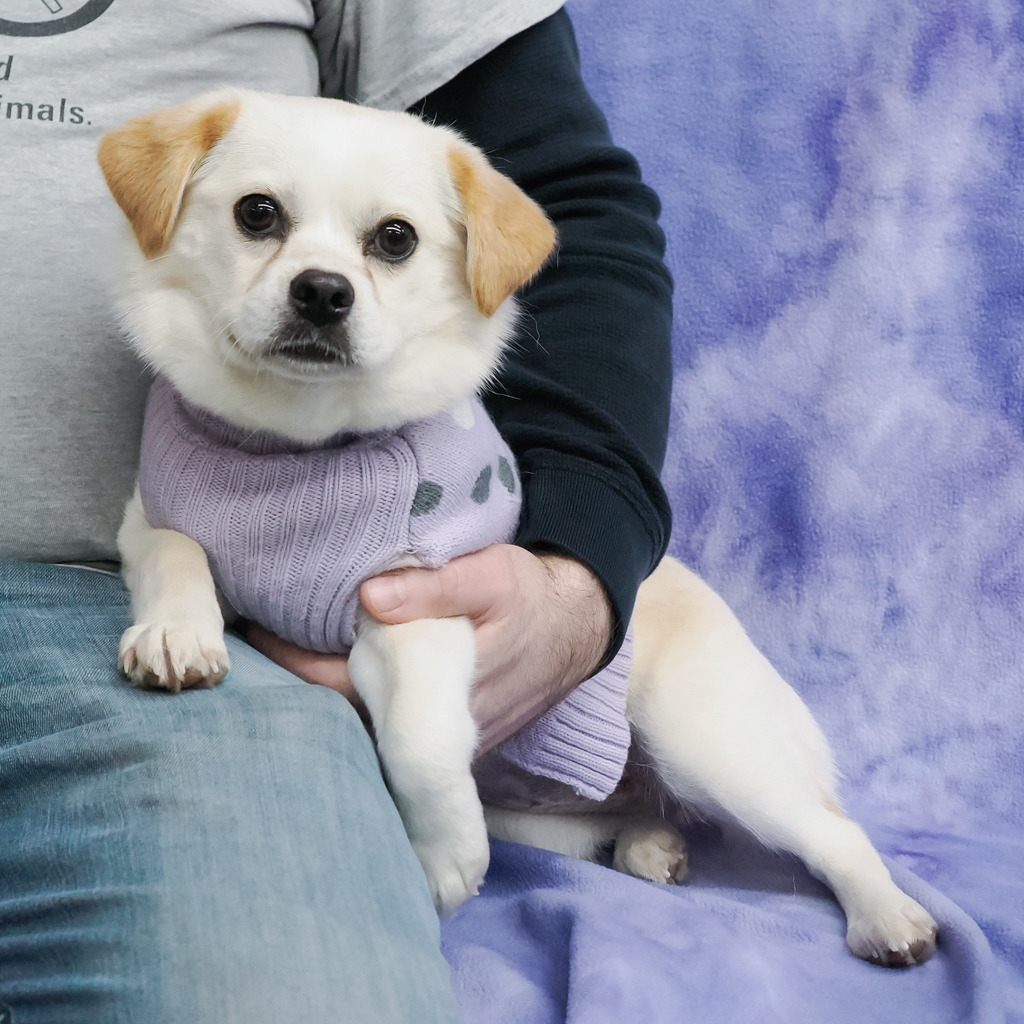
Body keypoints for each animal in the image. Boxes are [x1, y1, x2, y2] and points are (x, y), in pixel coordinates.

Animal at [99, 88, 937, 966]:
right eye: (256, 214)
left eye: (394, 239)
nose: (323, 291)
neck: (294, 449)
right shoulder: (148, 521)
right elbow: (177, 551)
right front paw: (178, 635)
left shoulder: (421, 606)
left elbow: (420, 744)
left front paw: (442, 861)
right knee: (634, 818)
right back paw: (650, 843)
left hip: (710, 743)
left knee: (836, 833)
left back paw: (887, 917)